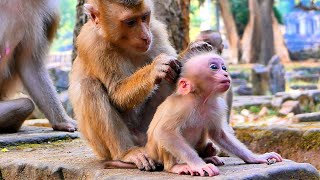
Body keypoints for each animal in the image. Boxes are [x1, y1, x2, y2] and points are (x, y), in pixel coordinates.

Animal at [69, 0, 180, 171]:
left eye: (144, 17)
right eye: (130, 22)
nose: (145, 36)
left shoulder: (156, 31)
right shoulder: (92, 43)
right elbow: (117, 95)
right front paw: (155, 68)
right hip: (102, 148)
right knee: (89, 85)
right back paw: (126, 153)